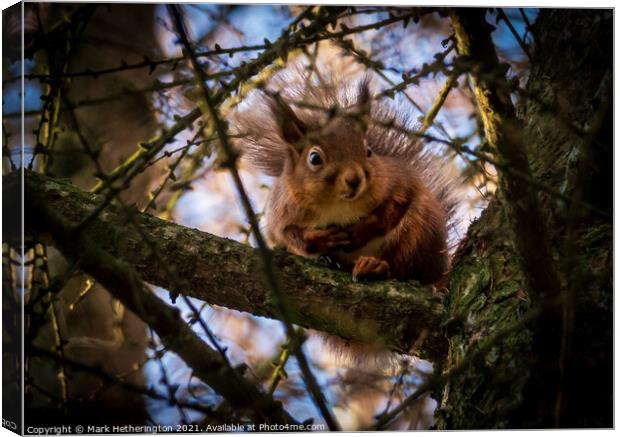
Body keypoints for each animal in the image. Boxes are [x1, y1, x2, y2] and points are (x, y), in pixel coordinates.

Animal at [230, 76, 458, 284]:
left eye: (368, 151)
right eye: (314, 158)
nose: (355, 179)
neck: (337, 203)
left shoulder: (400, 181)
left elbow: (393, 208)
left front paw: (360, 231)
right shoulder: (281, 212)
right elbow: (286, 234)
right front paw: (322, 238)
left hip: (419, 235)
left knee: (404, 269)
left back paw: (374, 266)